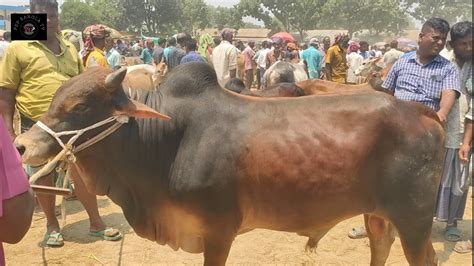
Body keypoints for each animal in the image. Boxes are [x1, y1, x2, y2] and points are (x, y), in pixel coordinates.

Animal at [15, 63, 444, 264]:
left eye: (80, 106)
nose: (20, 144)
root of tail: (418, 111)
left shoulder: (218, 230)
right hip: (380, 216)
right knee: (385, 250)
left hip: (414, 219)